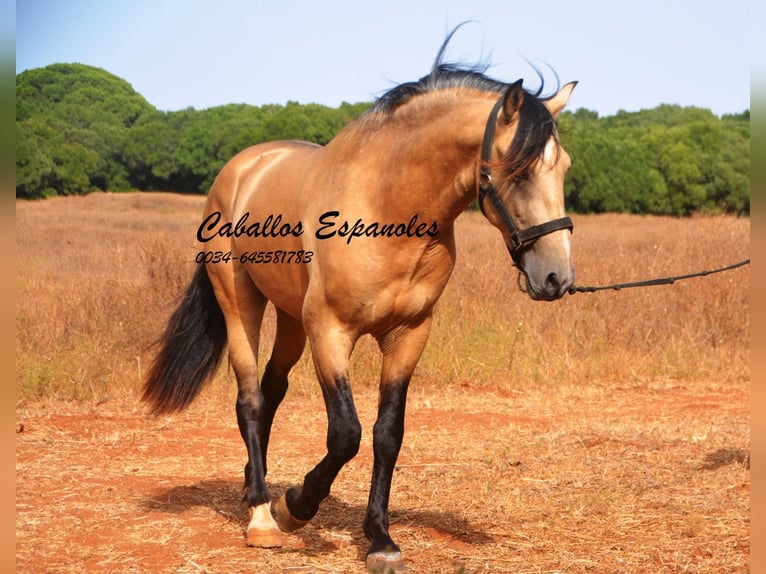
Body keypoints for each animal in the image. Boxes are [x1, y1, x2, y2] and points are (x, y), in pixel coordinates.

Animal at [142, 29, 576, 572]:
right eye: (517, 172)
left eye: (563, 167)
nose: (556, 277)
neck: (386, 207)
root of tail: (240, 168)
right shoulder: (330, 332)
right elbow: (345, 433)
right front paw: (296, 505)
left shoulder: (408, 334)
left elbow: (388, 434)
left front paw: (380, 539)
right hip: (241, 302)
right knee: (249, 399)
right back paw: (262, 514)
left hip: (291, 319)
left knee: (271, 392)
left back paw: (250, 485)